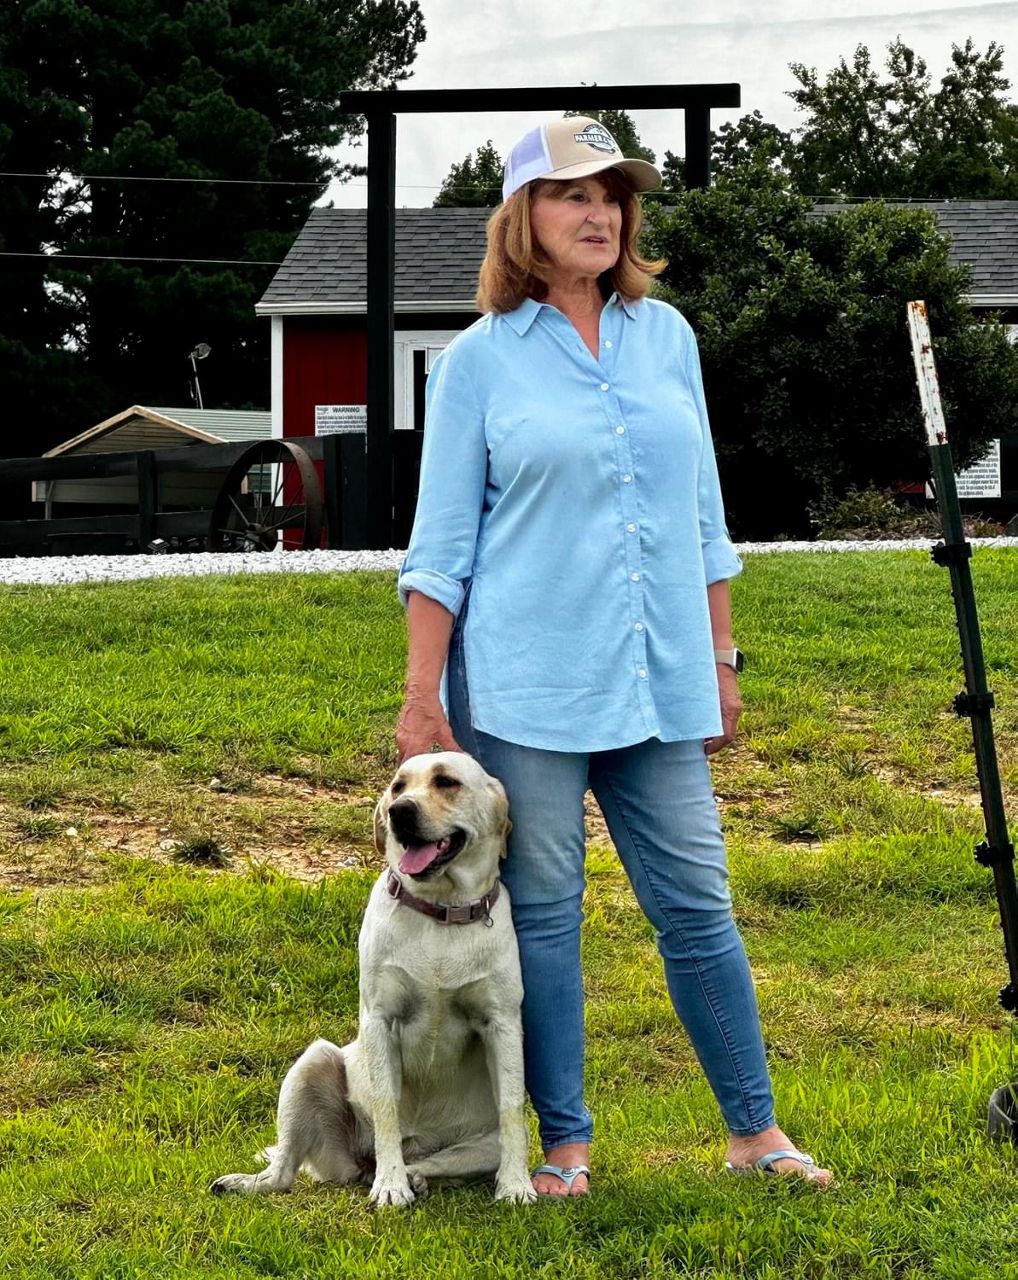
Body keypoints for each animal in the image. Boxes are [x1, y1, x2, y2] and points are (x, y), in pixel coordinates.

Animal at [210, 747, 537, 1203]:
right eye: (398, 786)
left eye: (446, 782)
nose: (400, 812)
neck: (440, 911)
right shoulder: (381, 1020)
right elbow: (386, 1108)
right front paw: (390, 1187)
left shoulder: (502, 1023)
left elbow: (510, 1112)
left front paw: (516, 1185)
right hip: (312, 1064)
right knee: (285, 1171)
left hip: (475, 1146)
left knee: (438, 1160)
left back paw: (417, 1176)